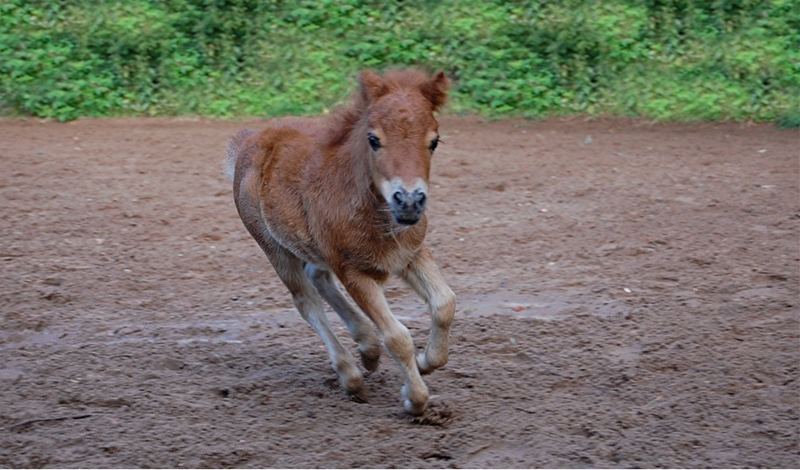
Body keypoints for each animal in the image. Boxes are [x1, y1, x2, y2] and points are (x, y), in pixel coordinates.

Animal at [225, 70, 456, 414]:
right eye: (374, 140)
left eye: (434, 141)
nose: (409, 201)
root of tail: (249, 142)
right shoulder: (353, 273)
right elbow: (397, 336)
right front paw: (414, 399)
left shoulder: (410, 254)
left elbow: (444, 304)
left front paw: (425, 361)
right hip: (275, 249)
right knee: (306, 301)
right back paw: (351, 375)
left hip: (312, 247)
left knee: (317, 276)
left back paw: (367, 348)